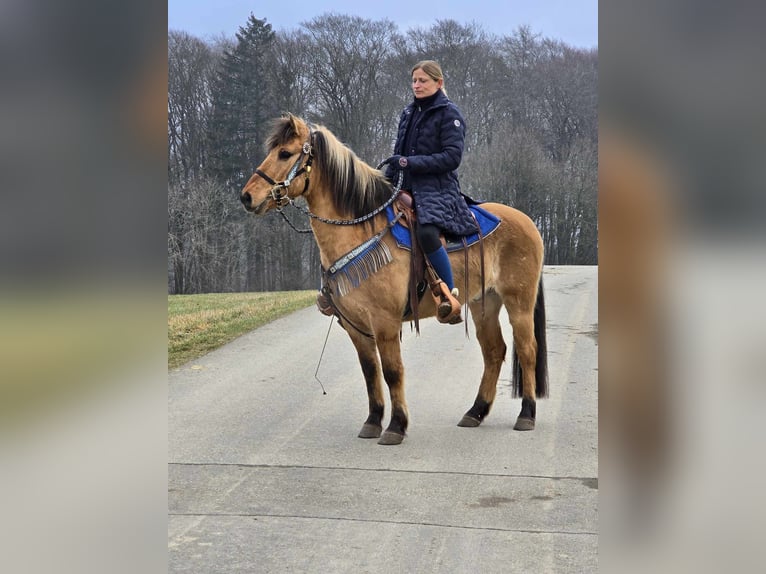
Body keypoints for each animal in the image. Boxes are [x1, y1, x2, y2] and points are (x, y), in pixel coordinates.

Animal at [240, 112, 544, 446]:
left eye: (285, 153)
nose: (247, 196)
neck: (361, 231)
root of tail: (528, 222)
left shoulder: (385, 322)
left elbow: (393, 371)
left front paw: (396, 426)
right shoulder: (355, 325)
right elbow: (370, 372)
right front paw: (373, 421)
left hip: (518, 301)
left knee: (527, 350)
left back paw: (527, 414)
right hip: (483, 303)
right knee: (494, 351)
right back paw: (475, 412)